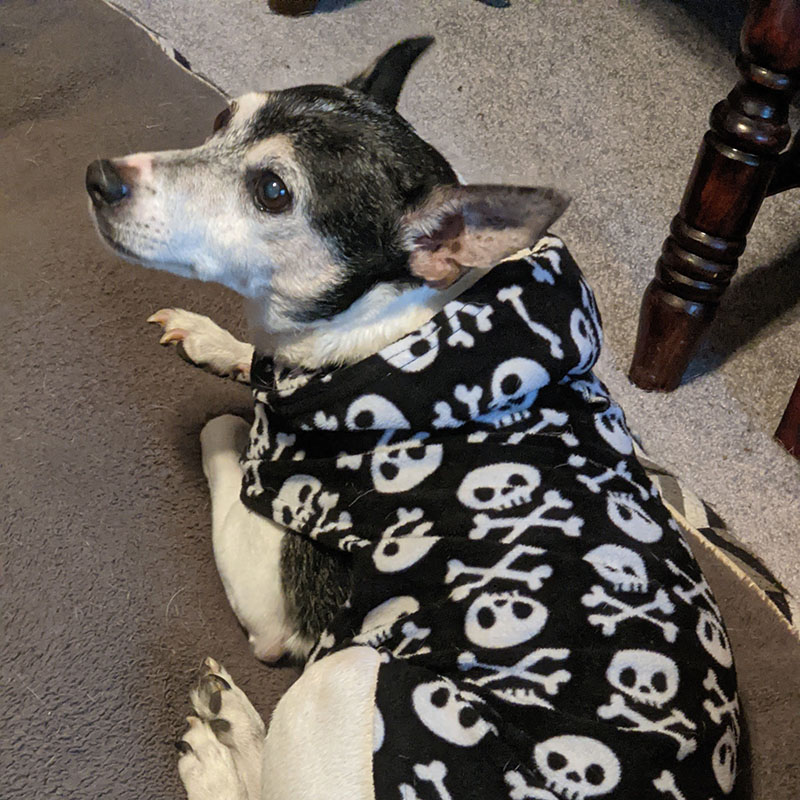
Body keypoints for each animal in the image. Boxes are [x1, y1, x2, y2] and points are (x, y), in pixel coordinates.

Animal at [87, 39, 744, 800]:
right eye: (223, 119)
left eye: (273, 192)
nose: (99, 176)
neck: (405, 323)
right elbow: (255, 359)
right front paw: (217, 340)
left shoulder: (277, 599)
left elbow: (226, 432)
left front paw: (249, 408)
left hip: (342, 677)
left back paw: (221, 752)